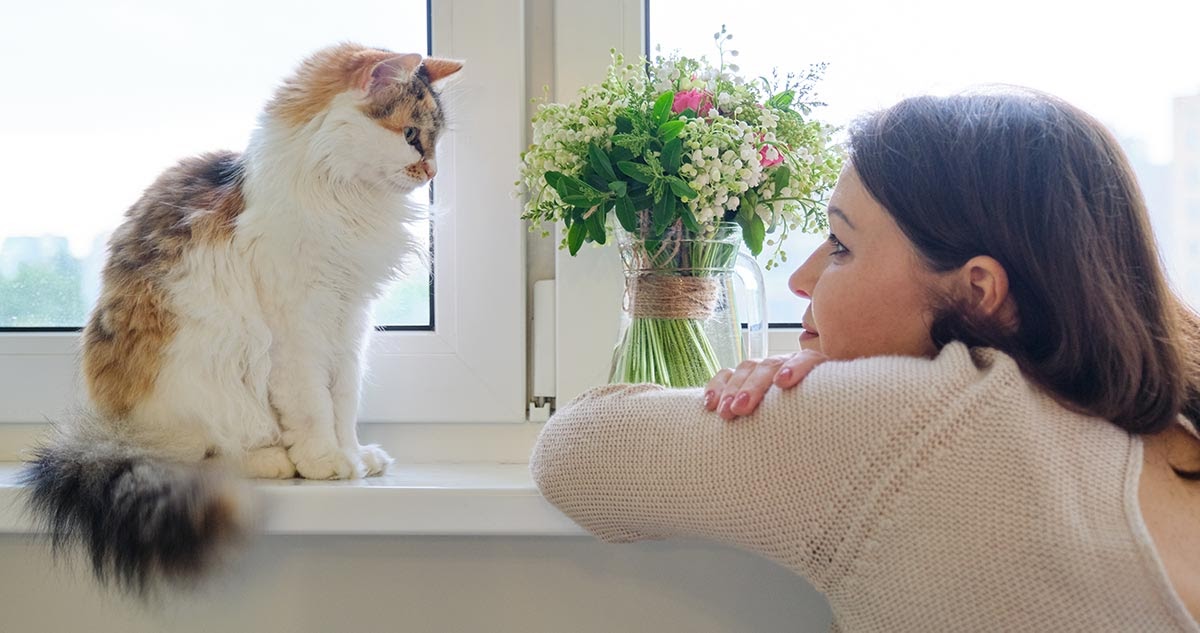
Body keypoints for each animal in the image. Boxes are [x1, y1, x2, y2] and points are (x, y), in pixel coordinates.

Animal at [17, 43, 463, 594]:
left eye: (436, 140)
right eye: (410, 135)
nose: (432, 172)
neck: (345, 202)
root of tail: (110, 434)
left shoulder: (348, 324)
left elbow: (344, 403)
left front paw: (356, 456)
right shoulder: (300, 329)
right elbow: (315, 407)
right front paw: (325, 461)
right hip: (209, 373)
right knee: (203, 454)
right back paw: (274, 460)